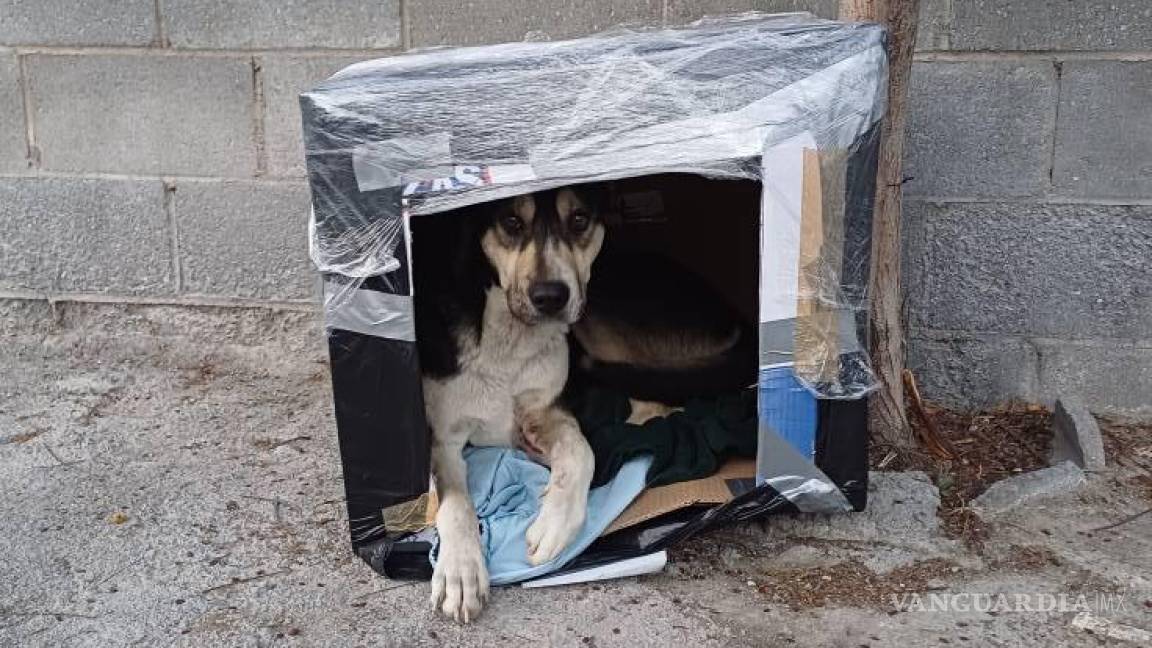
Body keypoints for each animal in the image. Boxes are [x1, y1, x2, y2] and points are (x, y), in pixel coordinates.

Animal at [414, 182, 755, 622]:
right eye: (511, 221)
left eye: (578, 219)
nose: (550, 297)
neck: (508, 334)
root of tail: (738, 318)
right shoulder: (443, 437)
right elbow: (455, 502)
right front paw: (461, 569)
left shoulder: (548, 409)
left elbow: (582, 452)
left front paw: (555, 524)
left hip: (599, 311)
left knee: (659, 401)